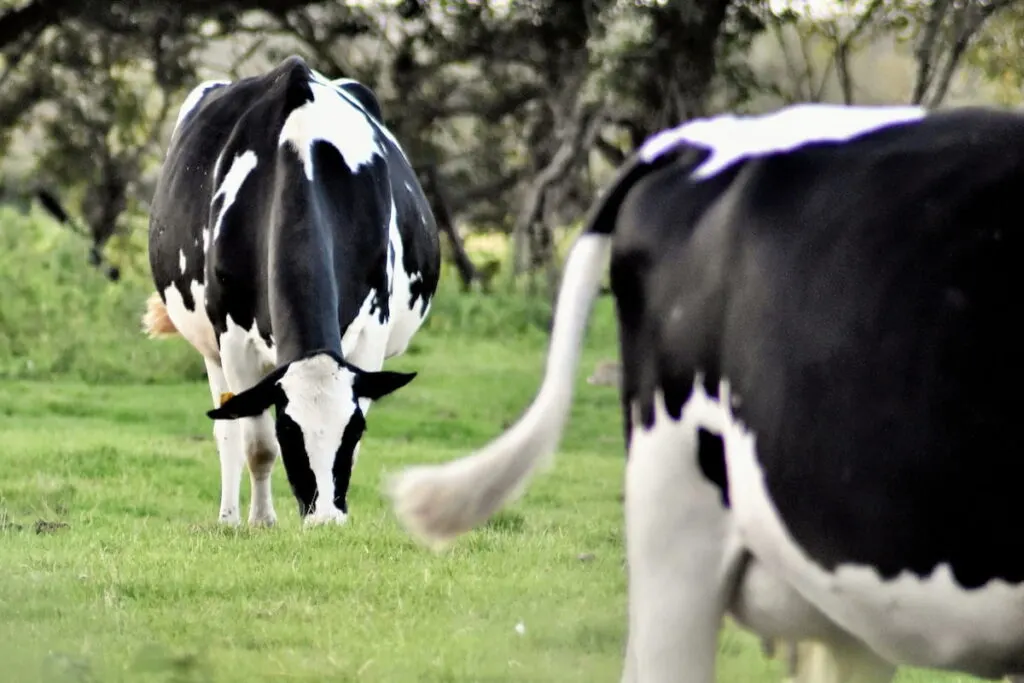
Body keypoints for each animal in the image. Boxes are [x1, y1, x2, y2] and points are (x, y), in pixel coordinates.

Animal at [143, 57, 440, 528]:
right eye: (289, 430)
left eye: (354, 429)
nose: (325, 520)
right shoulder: (234, 341)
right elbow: (257, 445)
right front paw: (262, 521)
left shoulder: (370, 336)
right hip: (210, 348)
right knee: (226, 428)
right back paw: (229, 518)